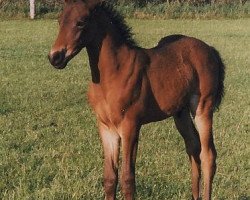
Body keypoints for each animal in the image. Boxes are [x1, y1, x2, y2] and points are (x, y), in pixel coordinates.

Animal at [48, 0, 225, 199]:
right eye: (59, 21)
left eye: (81, 22)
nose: (55, 57)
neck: (113, 74)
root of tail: (210, 49)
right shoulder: (106, 128)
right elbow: (110, 178)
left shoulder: (130, 126)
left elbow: (127, 178)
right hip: (181, 113)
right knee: (193, 147)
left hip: (203, 107)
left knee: (208, 155)